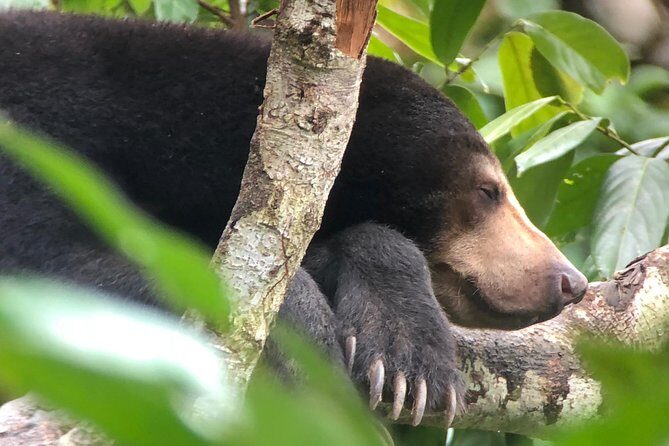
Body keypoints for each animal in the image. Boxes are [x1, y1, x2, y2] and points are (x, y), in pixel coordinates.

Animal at [0, 11, 588, 424]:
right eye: (488, 192)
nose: (570, 281)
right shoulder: (35, 140)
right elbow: (48, 267)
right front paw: (311, 346)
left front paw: (408, 358)